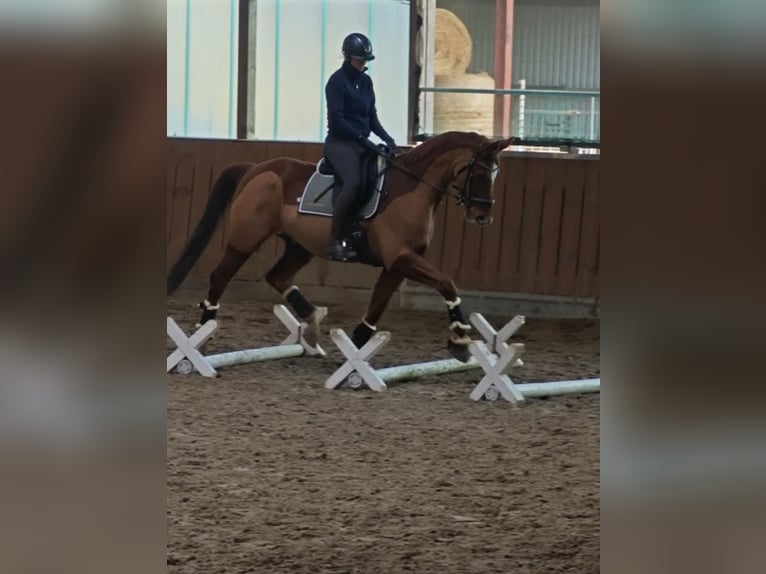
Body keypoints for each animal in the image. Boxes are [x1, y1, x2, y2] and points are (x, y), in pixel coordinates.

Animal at [167, 130, 515, 361]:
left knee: (277, 276)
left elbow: (378, 304)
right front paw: (459, 339)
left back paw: (311, 324)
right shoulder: (401, 258)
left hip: (299, 246)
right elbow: (447, 283)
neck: (411, 190)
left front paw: (358, 347)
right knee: (220, 277)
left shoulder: (397, 264)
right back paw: (203, 334)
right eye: (479, 171)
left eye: (495, 174)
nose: (482, 215)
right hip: (245, 239)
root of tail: (255, 169)